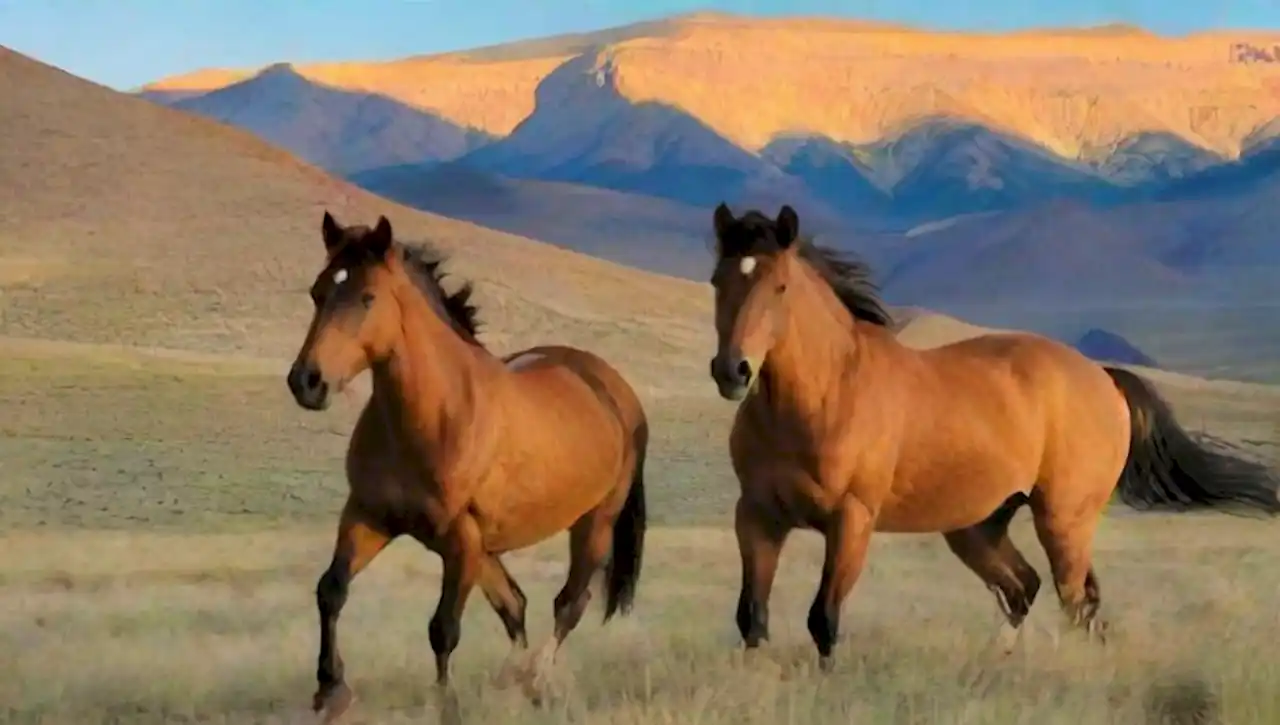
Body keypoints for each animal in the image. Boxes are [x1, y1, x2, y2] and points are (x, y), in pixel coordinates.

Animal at [285, 211, 645, 722]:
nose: (307, 382)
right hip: (487, 549)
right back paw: (512, 680)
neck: (434, 414)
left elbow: (443, 629)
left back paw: (535, 679)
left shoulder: (461, 540)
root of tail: (613, 387)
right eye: (317, 292)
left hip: (593, 523)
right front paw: (330, 690)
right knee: (516, 605)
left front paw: (447, 705)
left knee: (569, 603)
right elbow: (331, 590)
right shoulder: (368, 517)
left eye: (367, 296)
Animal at [706, 202, 1280, 671]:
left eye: (780, 286)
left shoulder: (851, 521)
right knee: (1025, 586)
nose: (732, 371)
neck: (823, 396)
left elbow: (823, 619)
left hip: (1063, 521)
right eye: (716, 280)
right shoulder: (758, 516)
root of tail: (1102, 375)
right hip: (978, 526)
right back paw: (992, 663)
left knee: (1077, 601)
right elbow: (751, 616)